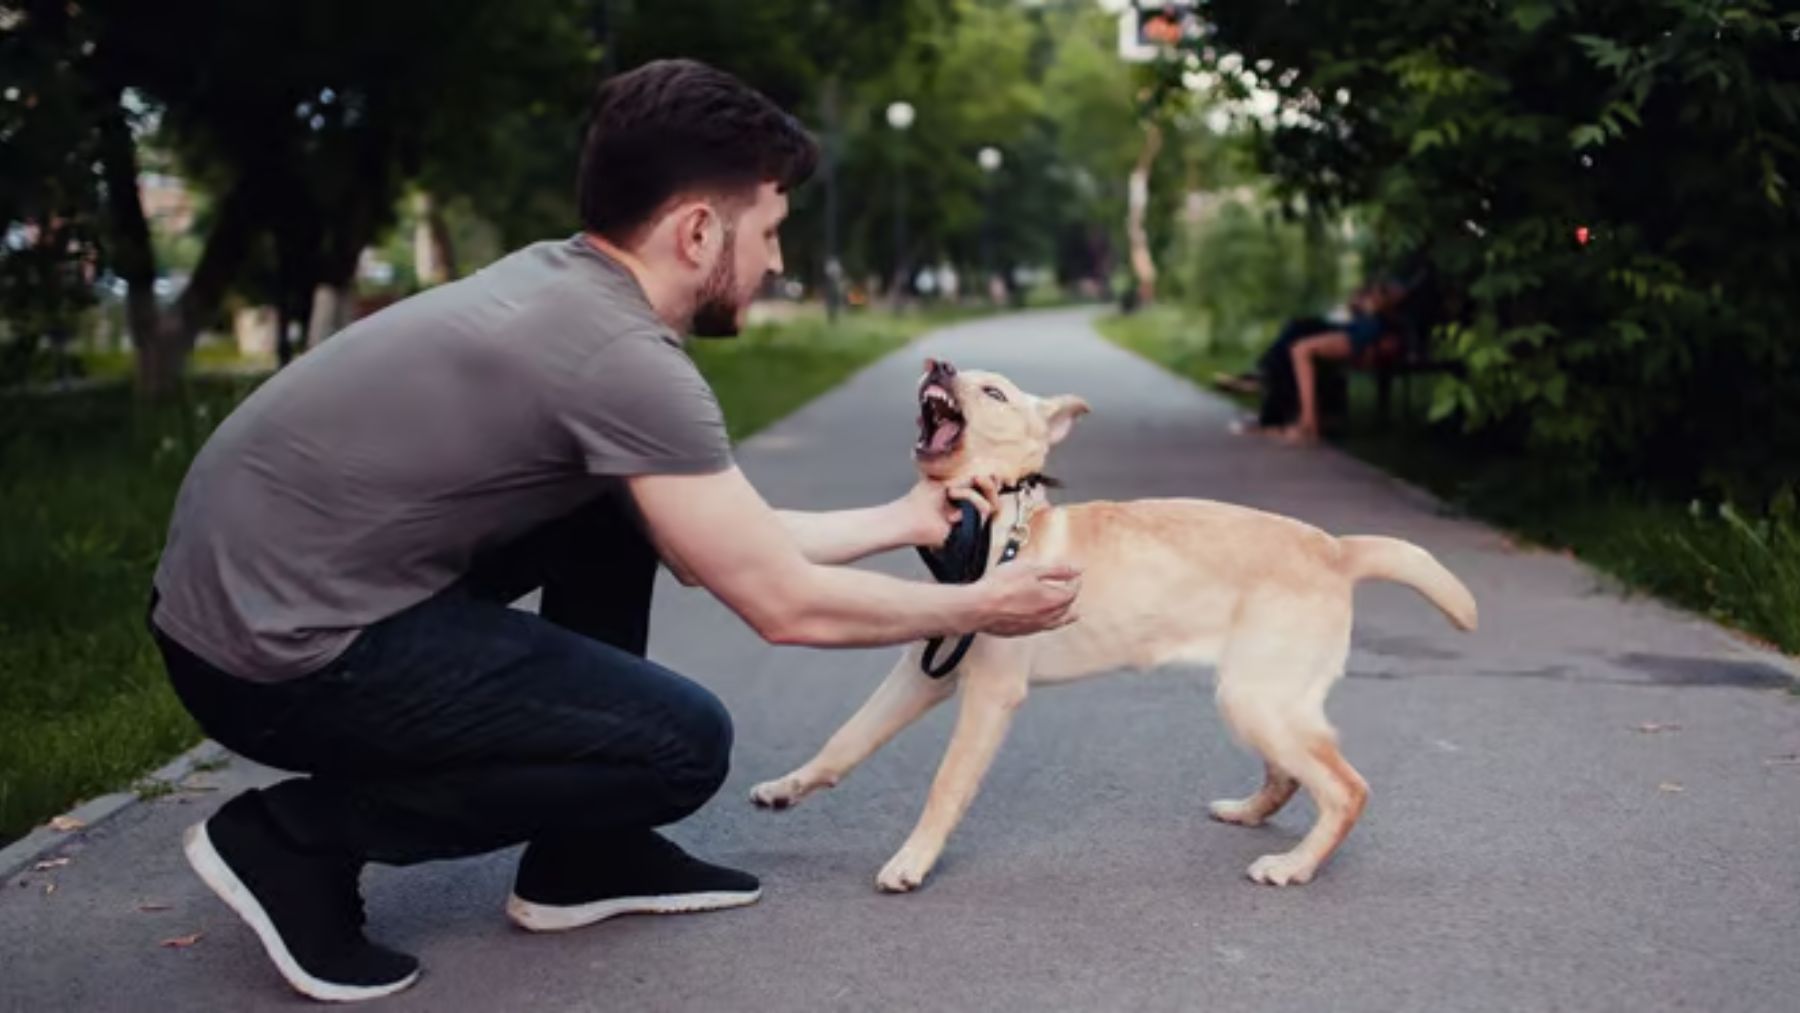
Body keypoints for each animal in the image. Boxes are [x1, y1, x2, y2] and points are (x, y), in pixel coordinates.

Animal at [748, 359, 1476, 892]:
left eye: (993, 391)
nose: (939, 362)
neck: (991, 519)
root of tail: (1336, 548)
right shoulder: (927, 670)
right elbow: (847, 738)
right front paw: (789, 787)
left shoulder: (990, 691)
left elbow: (946, 782)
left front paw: (912, 860)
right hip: (1261, 698)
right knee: (1295, 774)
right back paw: (1249, 813)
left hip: (1257, 698)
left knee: (1346, 788)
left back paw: (1294, 865)